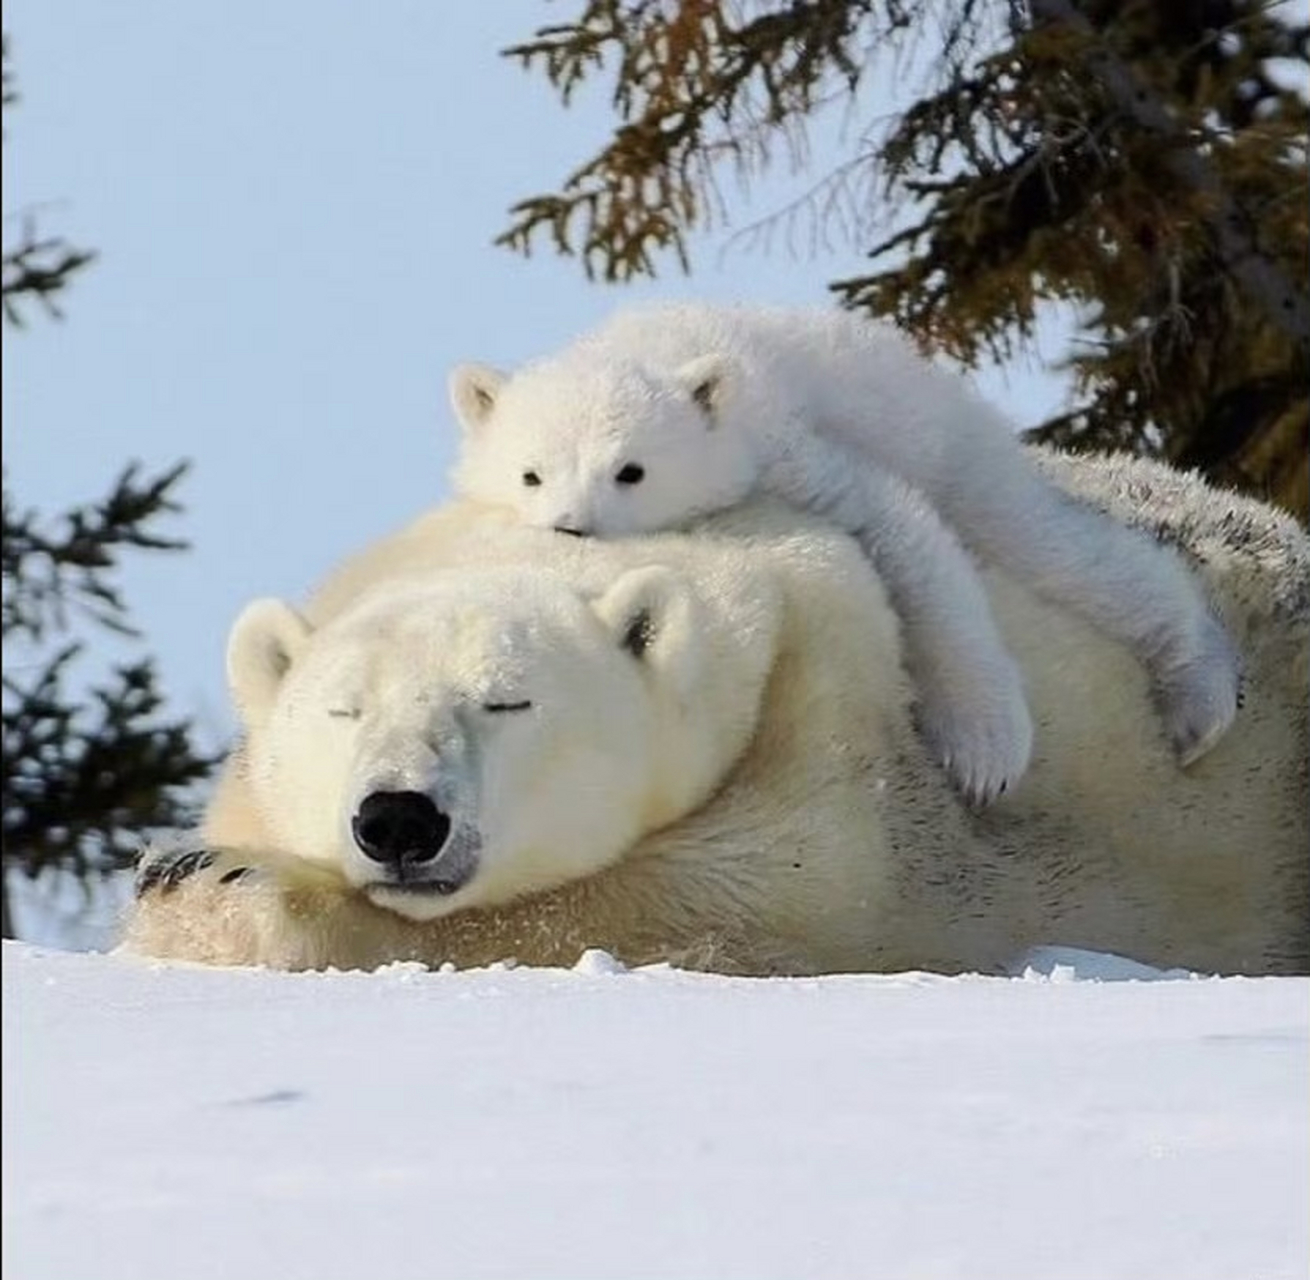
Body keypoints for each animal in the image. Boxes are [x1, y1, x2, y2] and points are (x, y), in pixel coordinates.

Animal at [123, 450, 1310, 969]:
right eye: (341, 709)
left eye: (507, 700)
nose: (399, 819)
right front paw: (190, 866)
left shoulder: (834, 707)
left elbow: (710, 899)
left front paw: (228, 889)